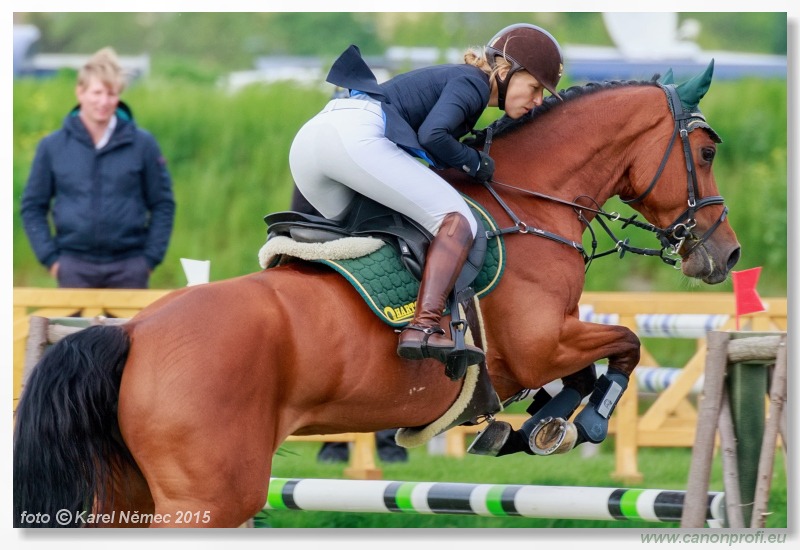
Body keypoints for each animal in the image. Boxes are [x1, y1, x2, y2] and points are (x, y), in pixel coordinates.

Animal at [14, 62, 736, 528]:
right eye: (705, 151)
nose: (724, 253)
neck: (531, 204)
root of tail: (131, 333)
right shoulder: (538, 345)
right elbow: (625, 345)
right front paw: (578, 423)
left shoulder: (544, 348)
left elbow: (595, 362)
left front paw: (537, 426)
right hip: (209, 498)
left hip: (128, 492)